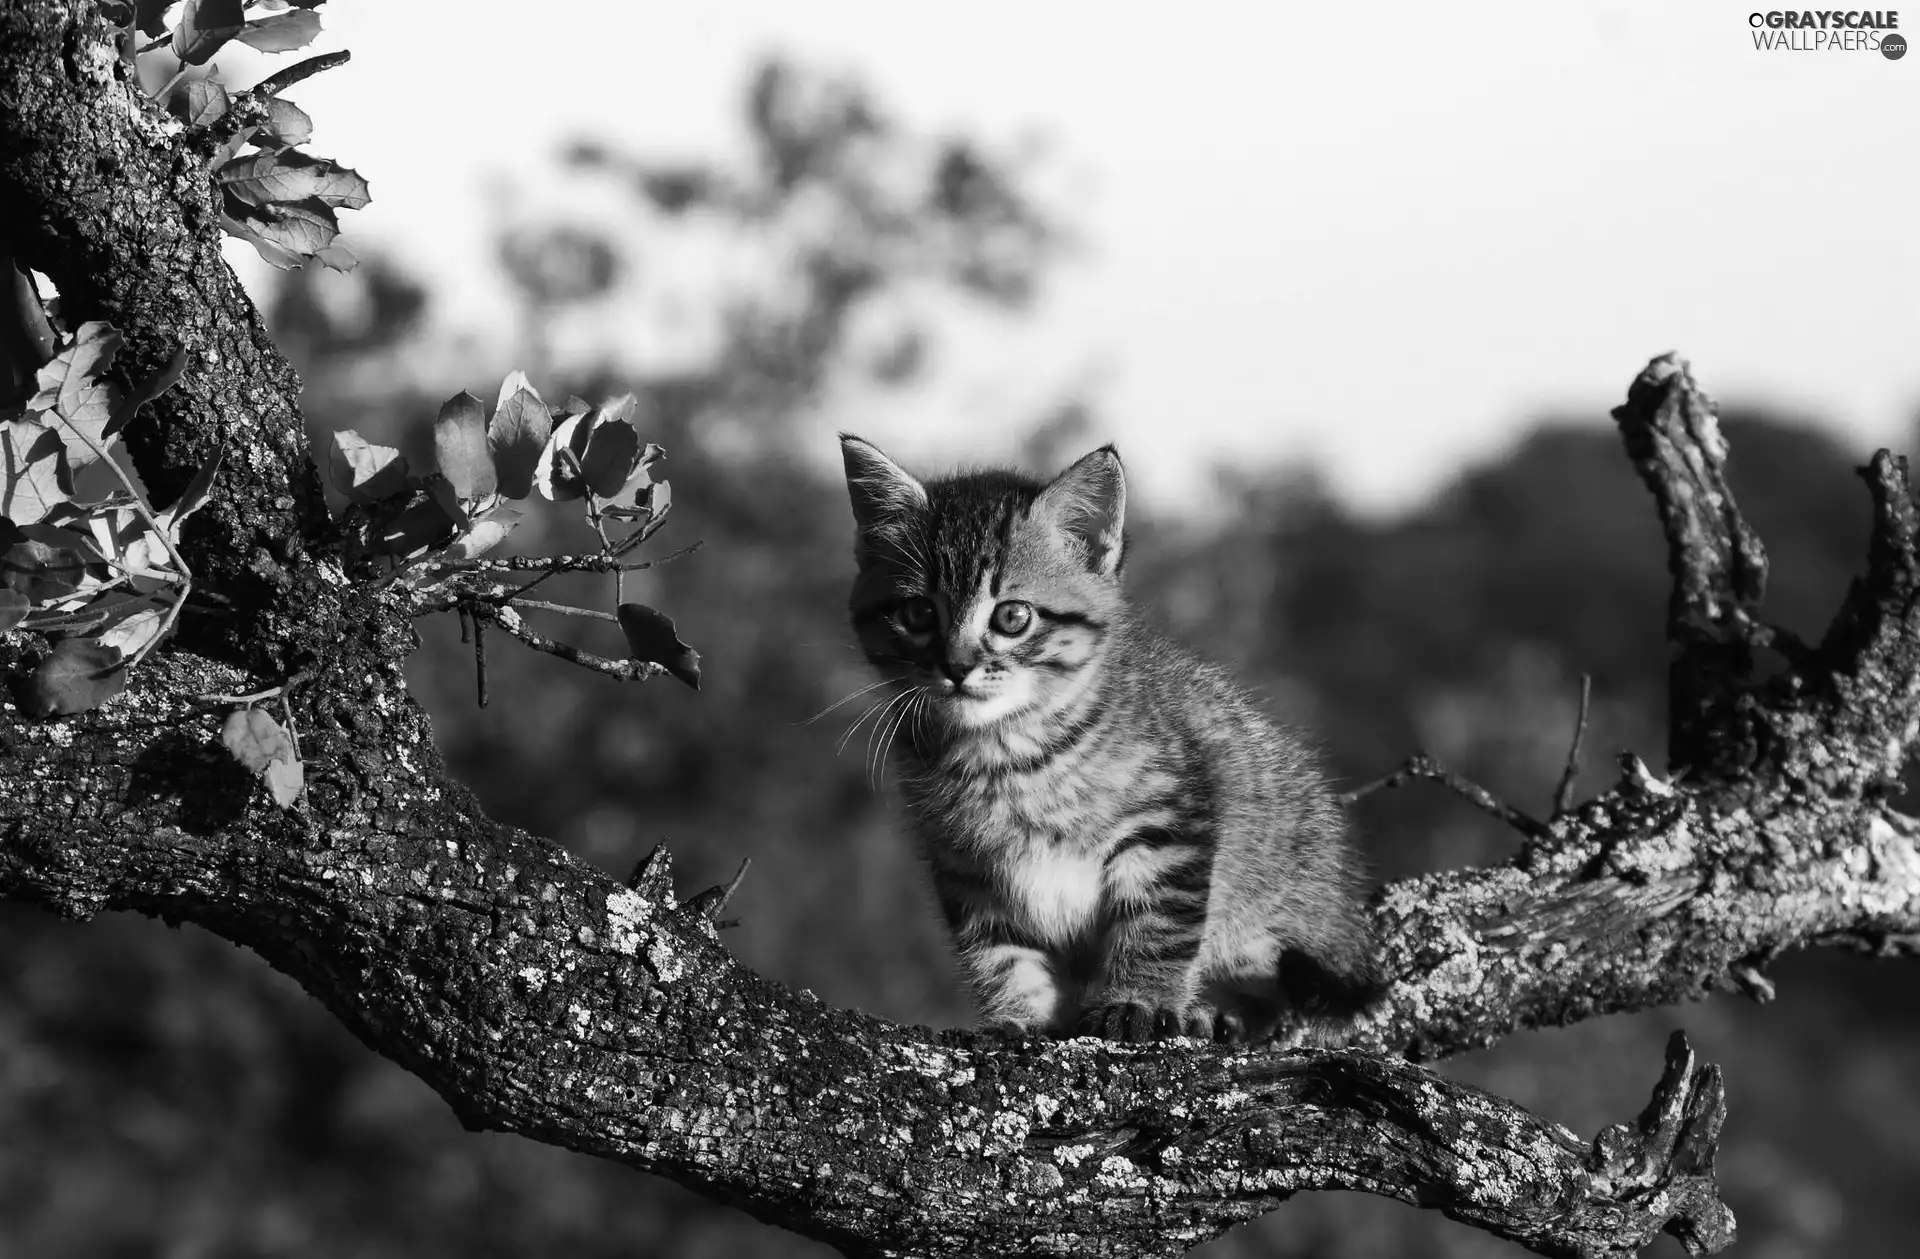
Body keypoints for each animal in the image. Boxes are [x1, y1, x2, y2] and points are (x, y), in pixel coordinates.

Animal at [840, 433, 1382, 1044]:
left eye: (1011, 617)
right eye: (917, 613)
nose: (956, 667)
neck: (1004, 752)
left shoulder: (1171, 825)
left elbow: (1157, 926)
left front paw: (1136, 1000)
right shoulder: (966, 870)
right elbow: (999, 953)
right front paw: (1018, 1015)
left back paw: (1216, 1012)